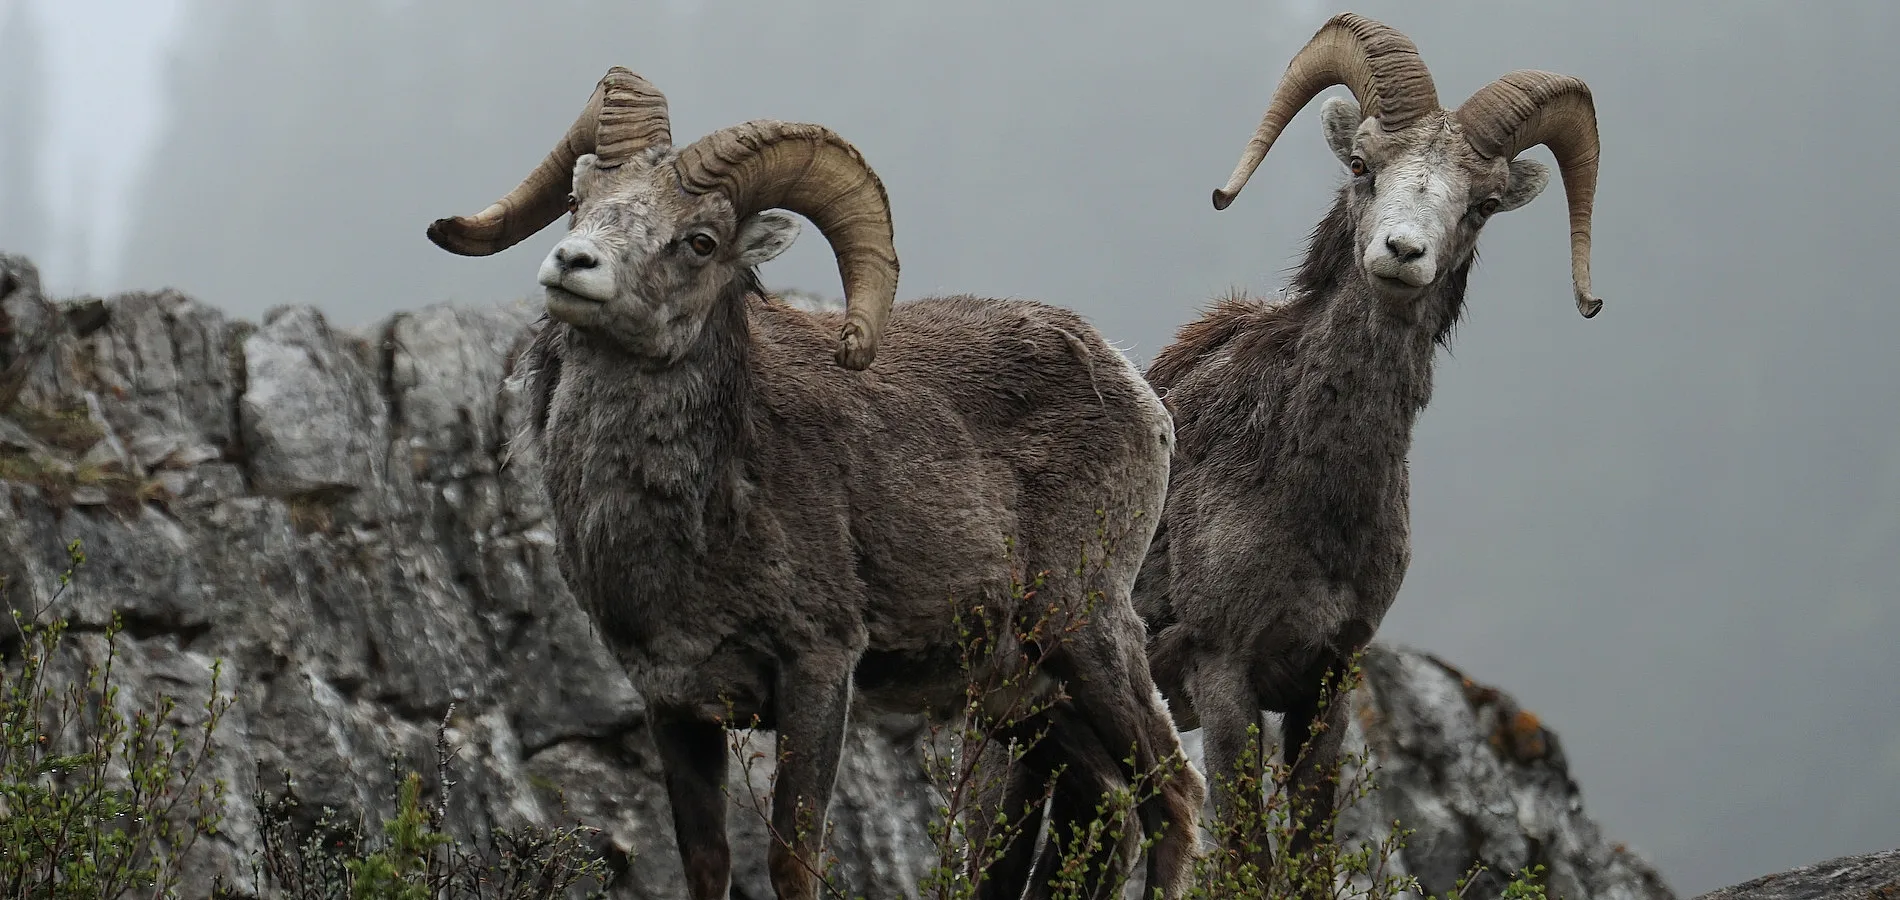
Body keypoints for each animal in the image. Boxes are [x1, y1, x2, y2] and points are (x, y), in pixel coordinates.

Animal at [425, 68, 1204, 900]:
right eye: (580, 199)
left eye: (700, 241)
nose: (573, 264)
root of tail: (1135, 387)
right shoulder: (676, 705)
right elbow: (708, 863)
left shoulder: (819, 671)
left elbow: (792, 859)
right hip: (1028, 697)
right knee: (1116, 803)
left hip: (1085, 632)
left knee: (1173, 799)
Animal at [1130, 12, 1606, 870]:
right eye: (1363, 166)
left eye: (1482, 204)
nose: (1402, 253)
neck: (1316, 501)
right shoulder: (1224, 676)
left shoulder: (1328, 679)